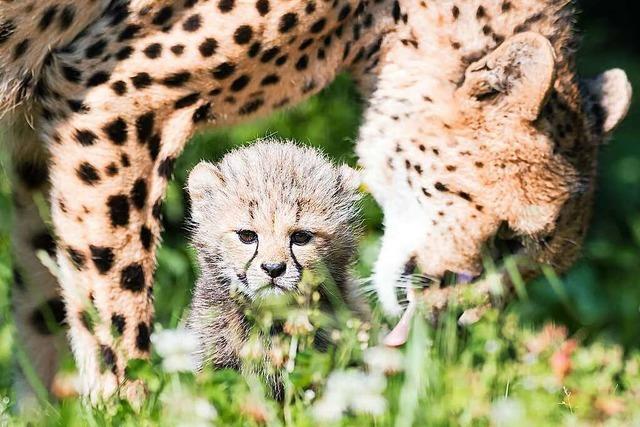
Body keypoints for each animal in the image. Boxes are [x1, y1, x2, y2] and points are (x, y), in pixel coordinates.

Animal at [0, 0, 632, 402]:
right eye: (508, 238)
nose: (463, 316)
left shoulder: (40, 127)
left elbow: (44, 302)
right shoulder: (108, 103)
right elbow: (116, 322)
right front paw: (127, 409)